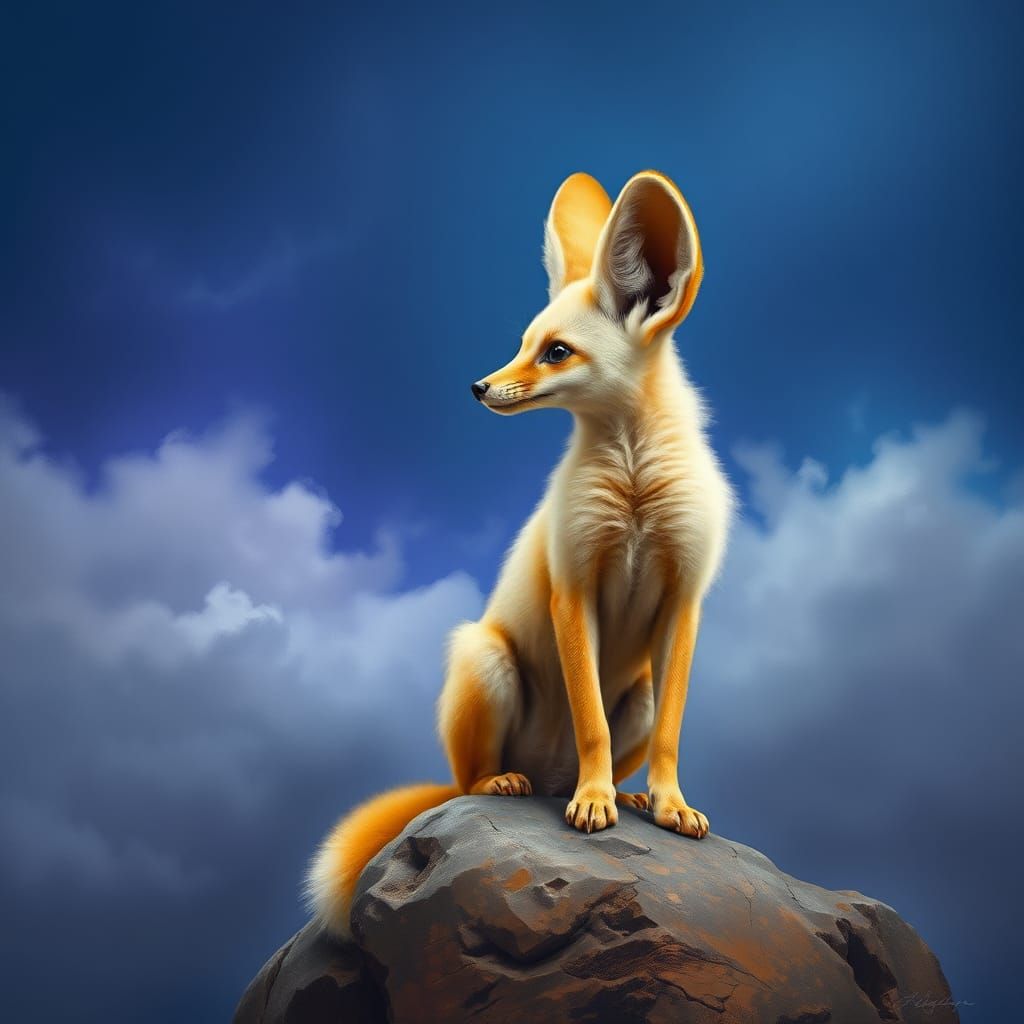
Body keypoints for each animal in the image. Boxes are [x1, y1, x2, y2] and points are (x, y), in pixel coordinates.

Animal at [306, 170, 736, 939]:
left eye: (557, 351)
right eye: (524, 341)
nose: (478, 387)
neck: (633, 490)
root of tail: (543, 773)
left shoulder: (686, 599)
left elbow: (668, 738)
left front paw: (667, 804)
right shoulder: (574, 588)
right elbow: (590, 719)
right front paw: (592, 804)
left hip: (639, 693)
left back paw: (623, 796)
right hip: (486, 659)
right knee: (473, 779)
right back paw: (520, 784)